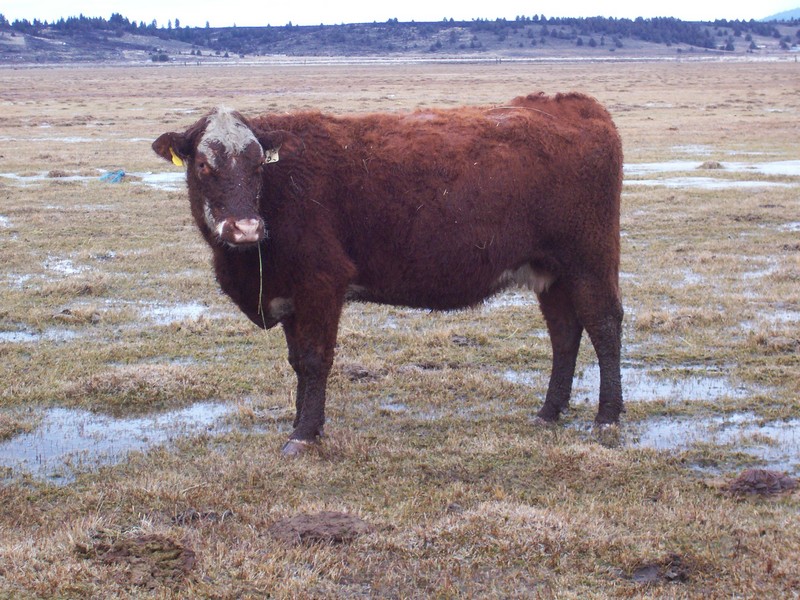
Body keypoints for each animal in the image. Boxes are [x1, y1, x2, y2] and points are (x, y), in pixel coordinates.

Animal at [152, 92, 624, 456]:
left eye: (257, 166)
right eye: (203, 165)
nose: (245, 227)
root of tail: (576, 106)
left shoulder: (321, 284)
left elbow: (314, 359)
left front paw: (303, 435)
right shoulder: (291, 295)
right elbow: (297, 362)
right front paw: (306, 422)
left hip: (590, 261)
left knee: (604, 324)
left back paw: (607, 418)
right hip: (551, 272)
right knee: (565, 334)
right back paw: (549, 412)